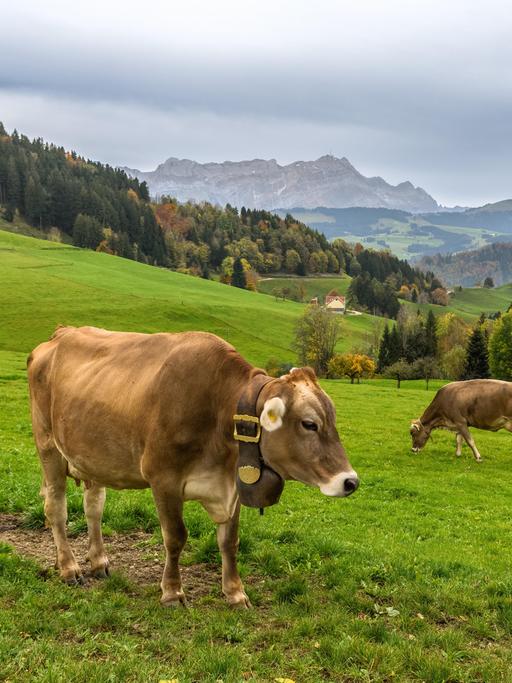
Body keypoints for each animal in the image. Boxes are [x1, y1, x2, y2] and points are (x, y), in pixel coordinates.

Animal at [28, 326, 359, 607]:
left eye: (332, 420)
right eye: (309, 424)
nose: (350, 481)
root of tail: (60, 333)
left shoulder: (233, 484)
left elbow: (229, 541)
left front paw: (235, 593)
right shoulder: (164, 479)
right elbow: (175, 537)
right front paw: (173, 592)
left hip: (91, 456)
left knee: (93, 507)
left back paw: (98, 561)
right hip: (48, 448)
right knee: (56, 508)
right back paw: (68, 568)